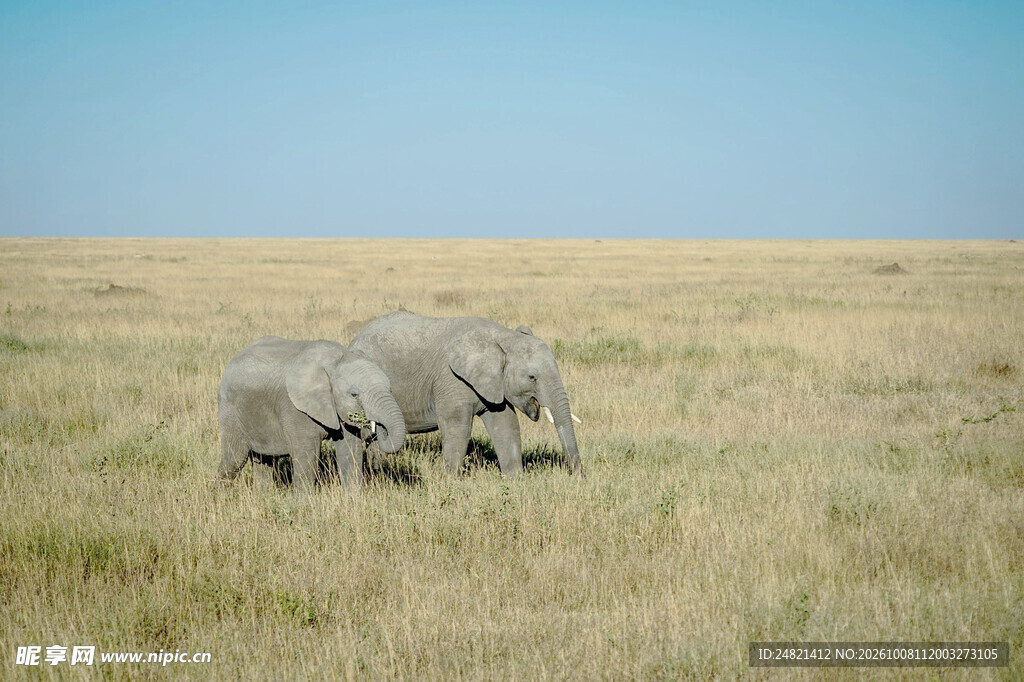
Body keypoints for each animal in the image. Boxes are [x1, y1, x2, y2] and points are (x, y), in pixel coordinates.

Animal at [217, 336, 407, 490]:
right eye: (354, 394)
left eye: (390, 389)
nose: (377, 426)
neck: (336, 360)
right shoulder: (295, 408)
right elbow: (307, 455)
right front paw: (302, 505)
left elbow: (350, 450)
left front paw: (354, 499)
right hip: (230, 410)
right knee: (234, 459)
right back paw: (222, 496)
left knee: (264, 460)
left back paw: (263, 496)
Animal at [348, 312, 582, 478]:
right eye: (532, 377)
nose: (579, 477)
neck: (503, 337)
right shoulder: (451, 379)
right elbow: (457, 428)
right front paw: (449, 481)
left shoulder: (494, 383)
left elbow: (506, 426)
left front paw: (516, 480)